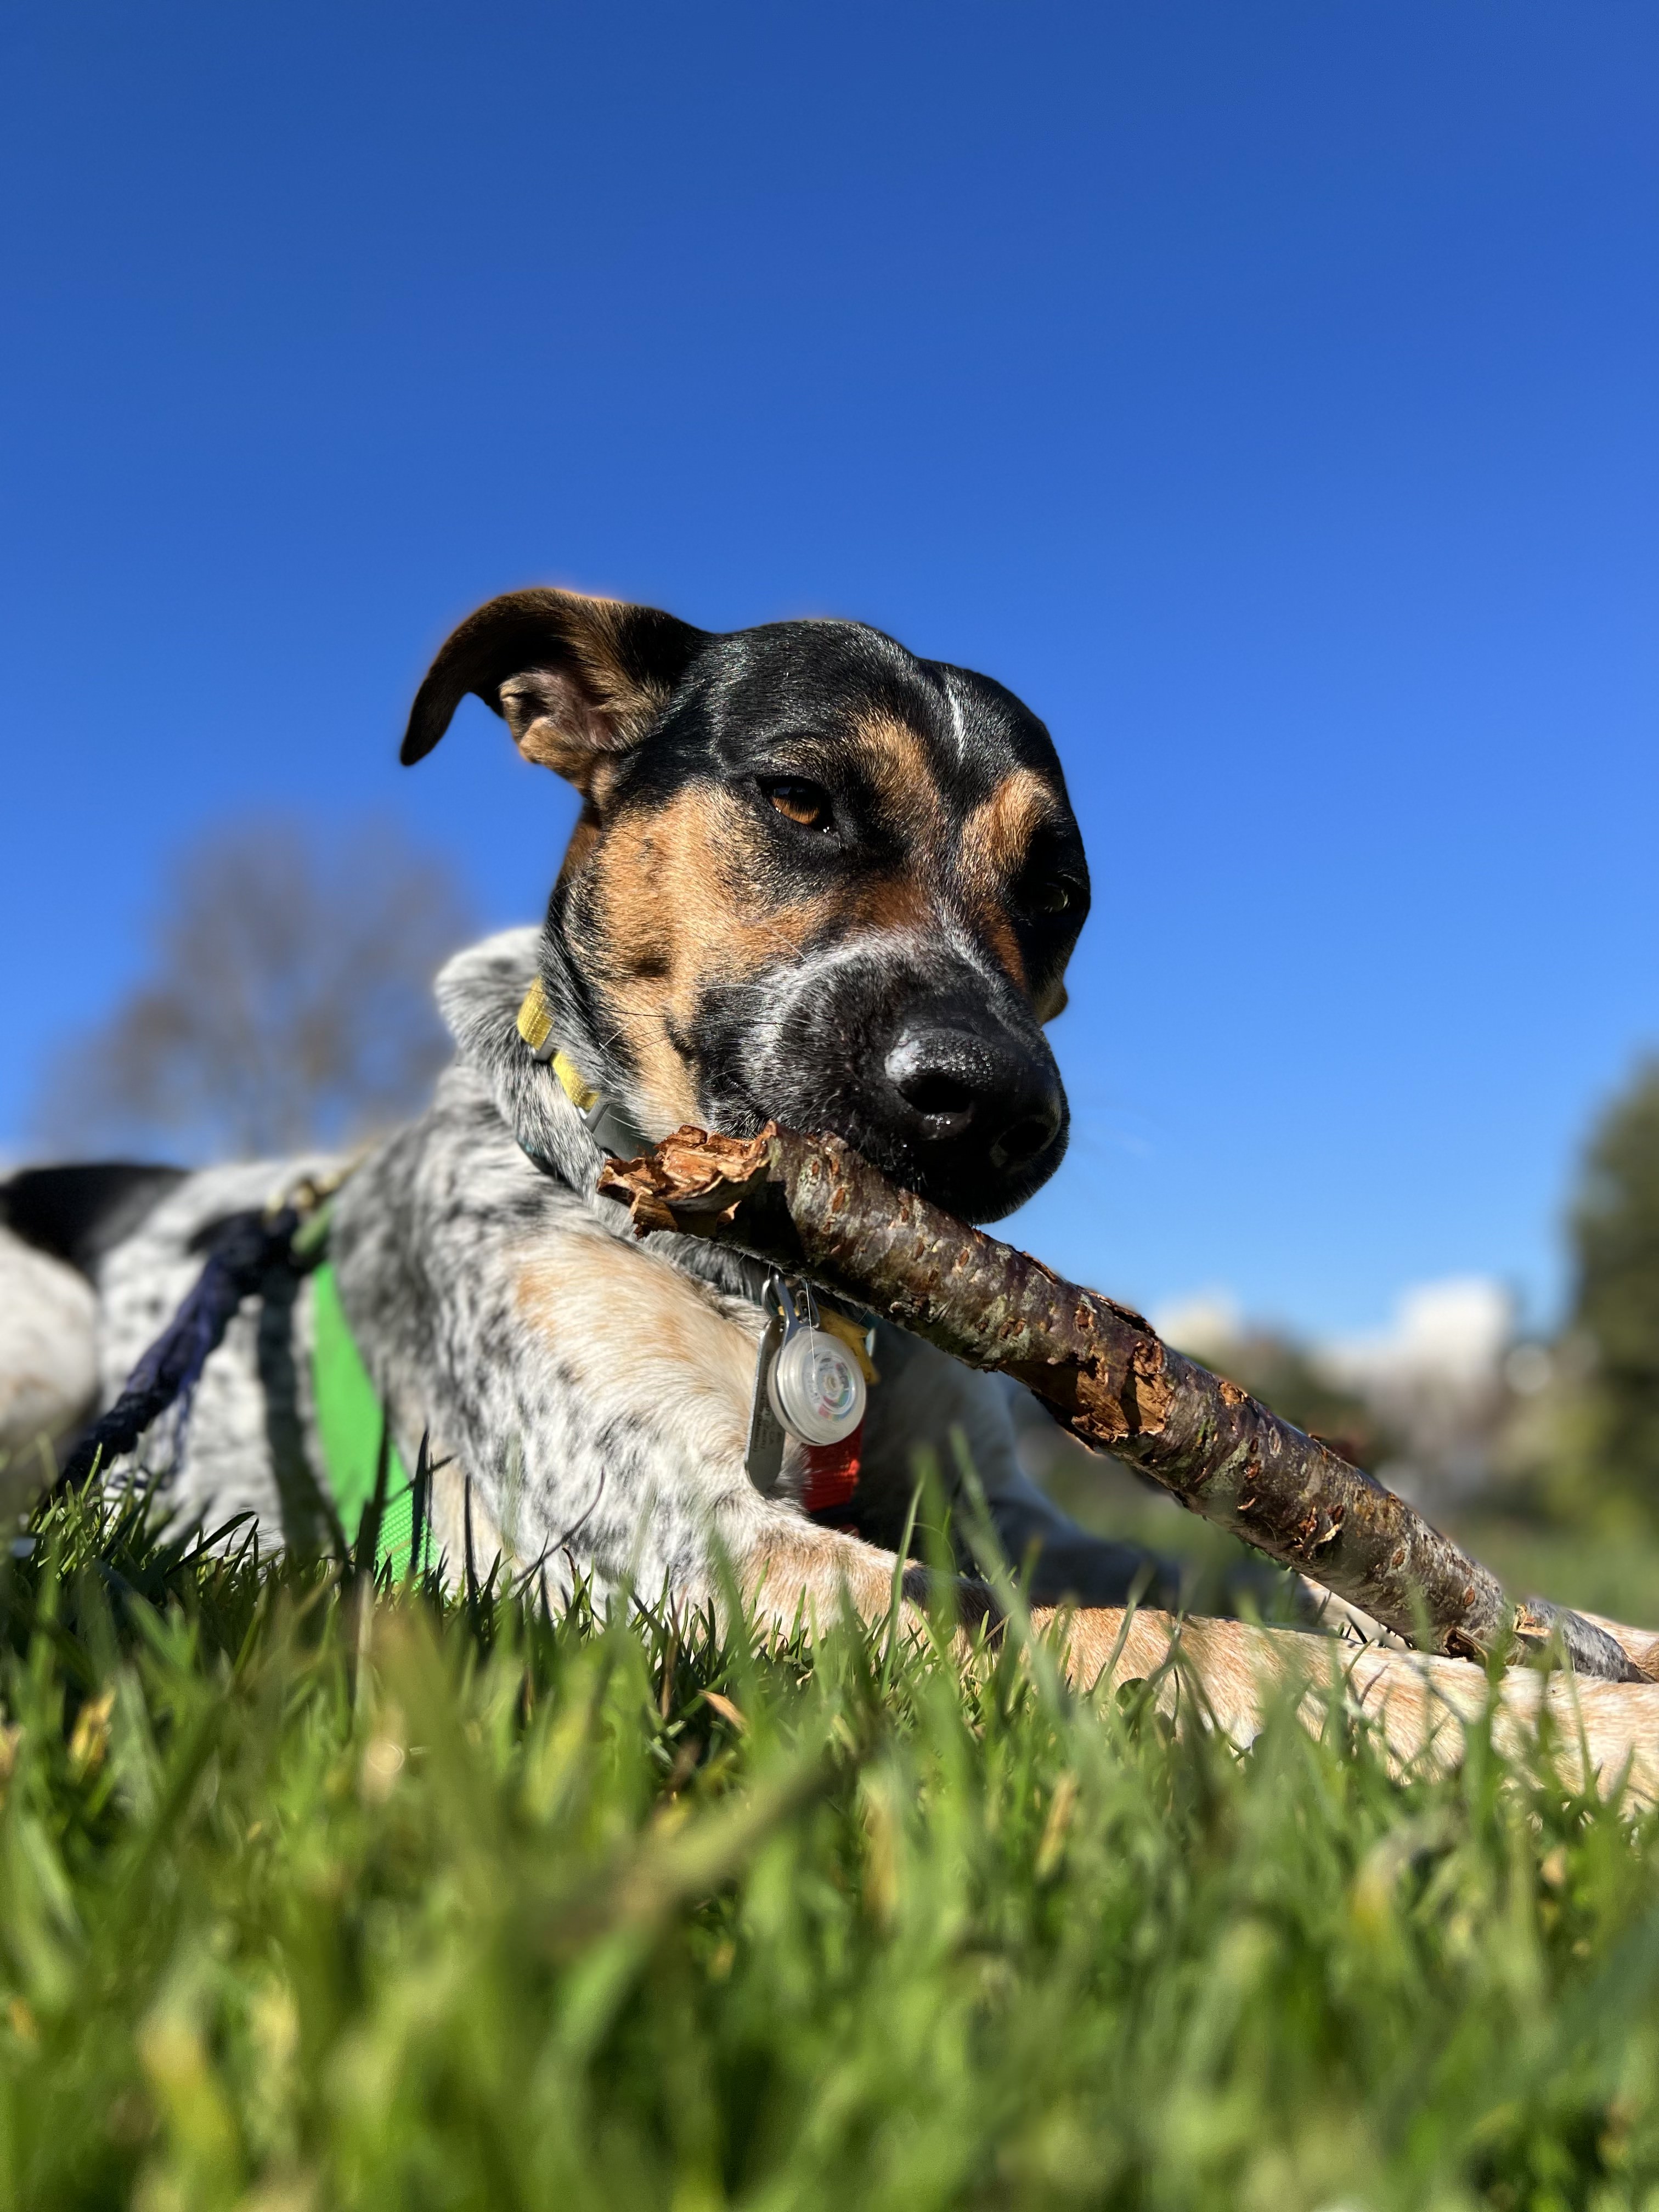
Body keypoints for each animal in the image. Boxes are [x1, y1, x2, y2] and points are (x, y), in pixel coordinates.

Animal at [3, 588, 1659, 1796]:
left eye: (1059, 895)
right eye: (800, 799)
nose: (998, 1104)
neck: (793, 1292)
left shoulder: (1003, 1516)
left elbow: (1240, 1584)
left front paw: (1595, 1641)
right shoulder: (707, 1552)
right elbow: (1192, 1641)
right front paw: (1581, 1738)